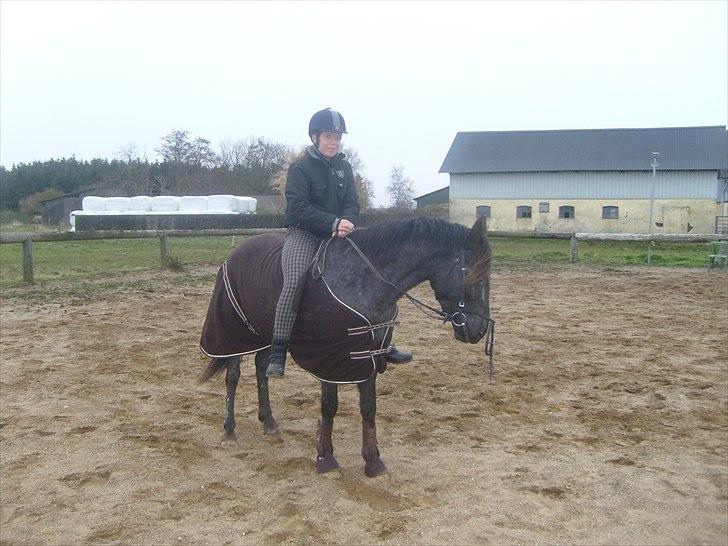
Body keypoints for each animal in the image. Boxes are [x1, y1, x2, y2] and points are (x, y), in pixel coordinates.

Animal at [198, 216, 493, 477]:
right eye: (474, 276)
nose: (479, 330)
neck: (363, 280)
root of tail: (237, 252)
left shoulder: (368, 353)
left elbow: (369, 407)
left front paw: (372, 460)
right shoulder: (331, 357)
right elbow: (329, 406)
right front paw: (326, 458)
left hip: (263, 333)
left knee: (261, 369)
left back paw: (268, 421)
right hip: (234, 332)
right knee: (233, 376)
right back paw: (229, 429)